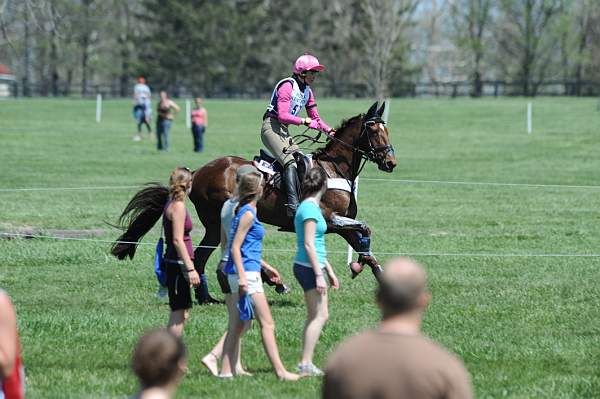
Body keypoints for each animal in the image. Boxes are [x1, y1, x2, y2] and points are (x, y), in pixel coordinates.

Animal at [112, 101, 398, 302]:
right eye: (374, 130)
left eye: (387, 129)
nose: (390, 163)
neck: (334, 169)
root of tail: (198, 173)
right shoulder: (330, 220)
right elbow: (365, 230)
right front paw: (356, 267)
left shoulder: (342, 223)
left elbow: (365, 245)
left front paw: (374, 275)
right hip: (221, 219)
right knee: (221, 251)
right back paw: (273, 282)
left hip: (217, 225)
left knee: (202, 256)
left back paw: (207, 298)